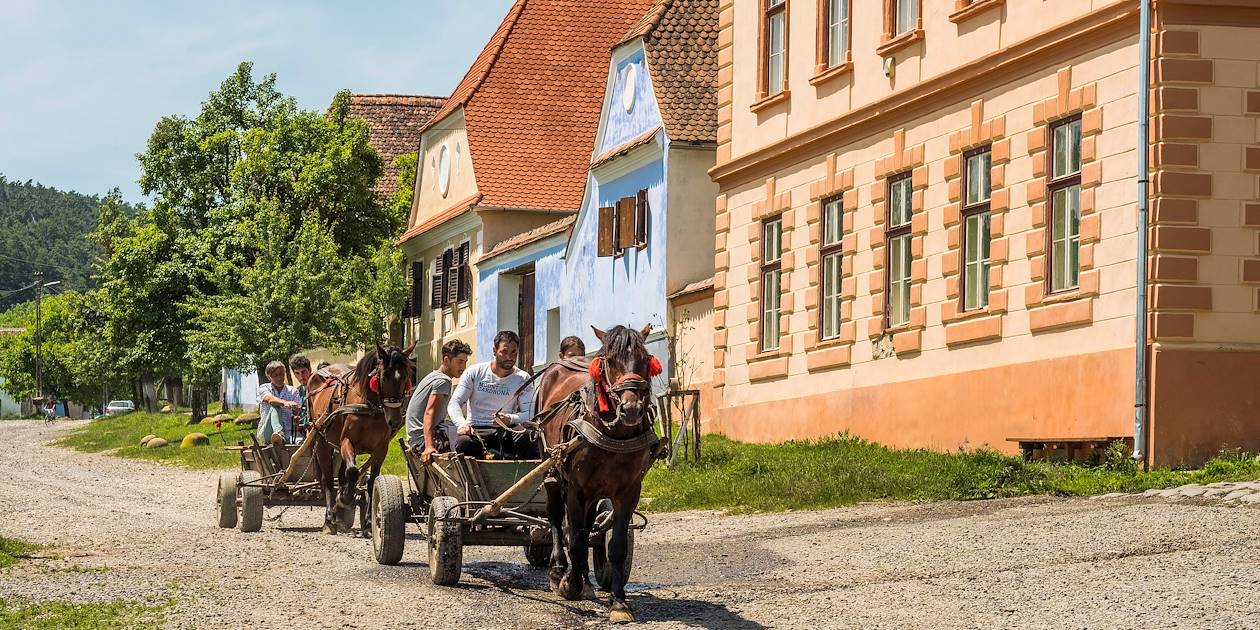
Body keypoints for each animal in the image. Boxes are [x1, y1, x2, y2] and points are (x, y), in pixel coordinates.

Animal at [304, 342, 413, 534]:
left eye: (406, 377)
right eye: (383, 377)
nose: (395, 420)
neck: (369, 408)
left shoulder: (381, 449)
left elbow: (371, 482)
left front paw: (369, 521)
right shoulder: (347, 442)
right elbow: (353, 471)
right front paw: (343, 499)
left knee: (341, 476)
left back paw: (340, 515)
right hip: (321, 440)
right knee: (327, 481)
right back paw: (330, 518)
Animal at [536, 325, 665, 624]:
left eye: (645, 359)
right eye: (609, 360)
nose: (631, 409)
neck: (613, 433)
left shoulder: (629, 491)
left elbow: (615, 545)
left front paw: (618, 602)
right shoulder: (575, 489)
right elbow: (575, 540)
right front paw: (570, 584)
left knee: (587, 525)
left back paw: (586, 579)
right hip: (552, 472)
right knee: (557, 520)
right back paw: (560, 571)